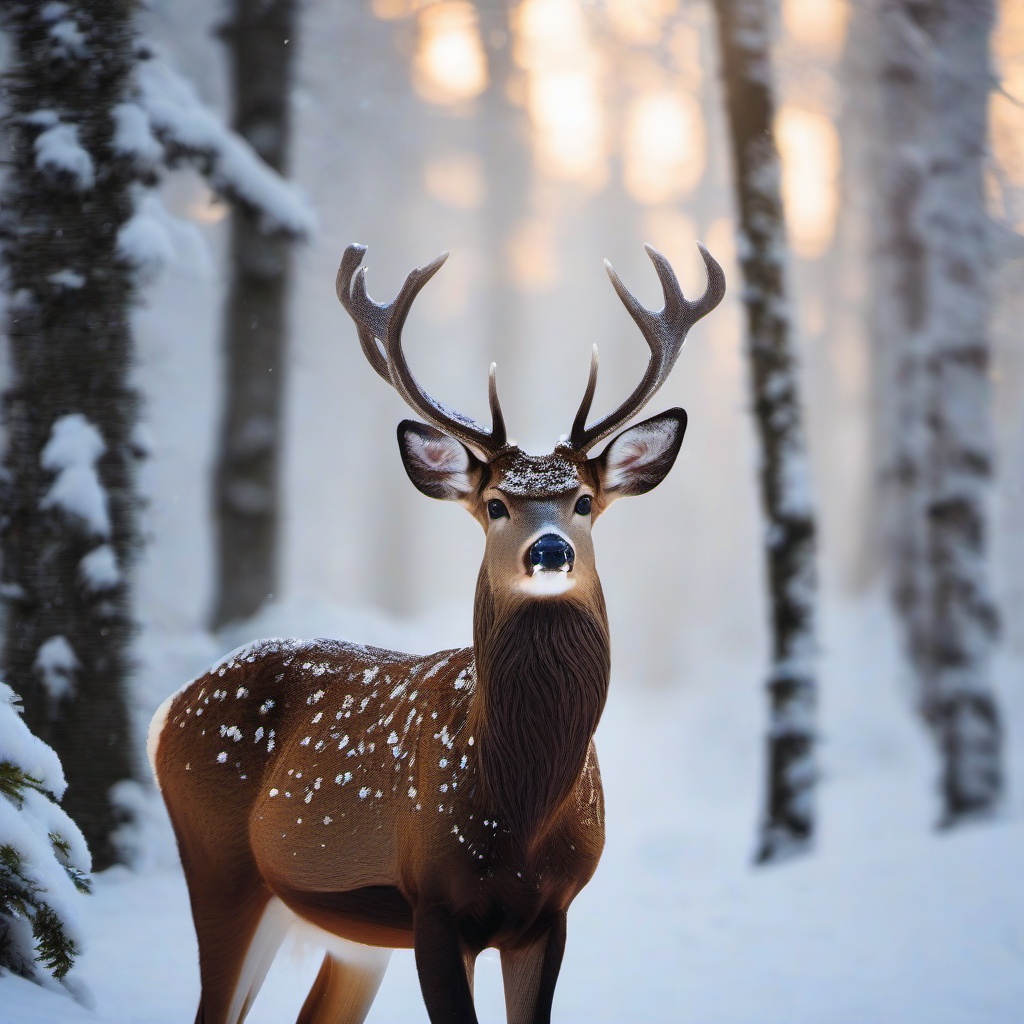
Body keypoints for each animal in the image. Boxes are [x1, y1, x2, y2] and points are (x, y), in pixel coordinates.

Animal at [149, 241, 729, 1024]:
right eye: (495, 504)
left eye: (583, 499)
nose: (550, 551)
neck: (517, 813)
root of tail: (168, 707)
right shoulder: (434, 902)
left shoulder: (549, 913)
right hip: (220, 862)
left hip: (349, 933)